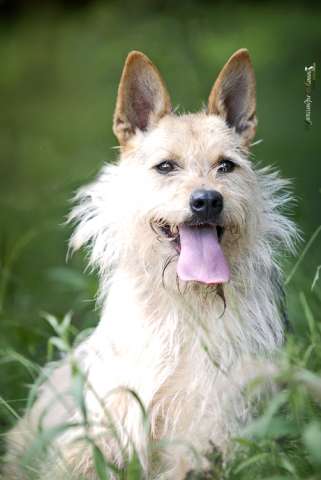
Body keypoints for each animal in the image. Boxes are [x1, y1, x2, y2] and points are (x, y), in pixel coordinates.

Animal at [3, 47, 296, 478]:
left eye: (226, 165)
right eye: (166, 166)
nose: (207, 200)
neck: (184, 301)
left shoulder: (212, 427)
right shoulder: (98, 427)